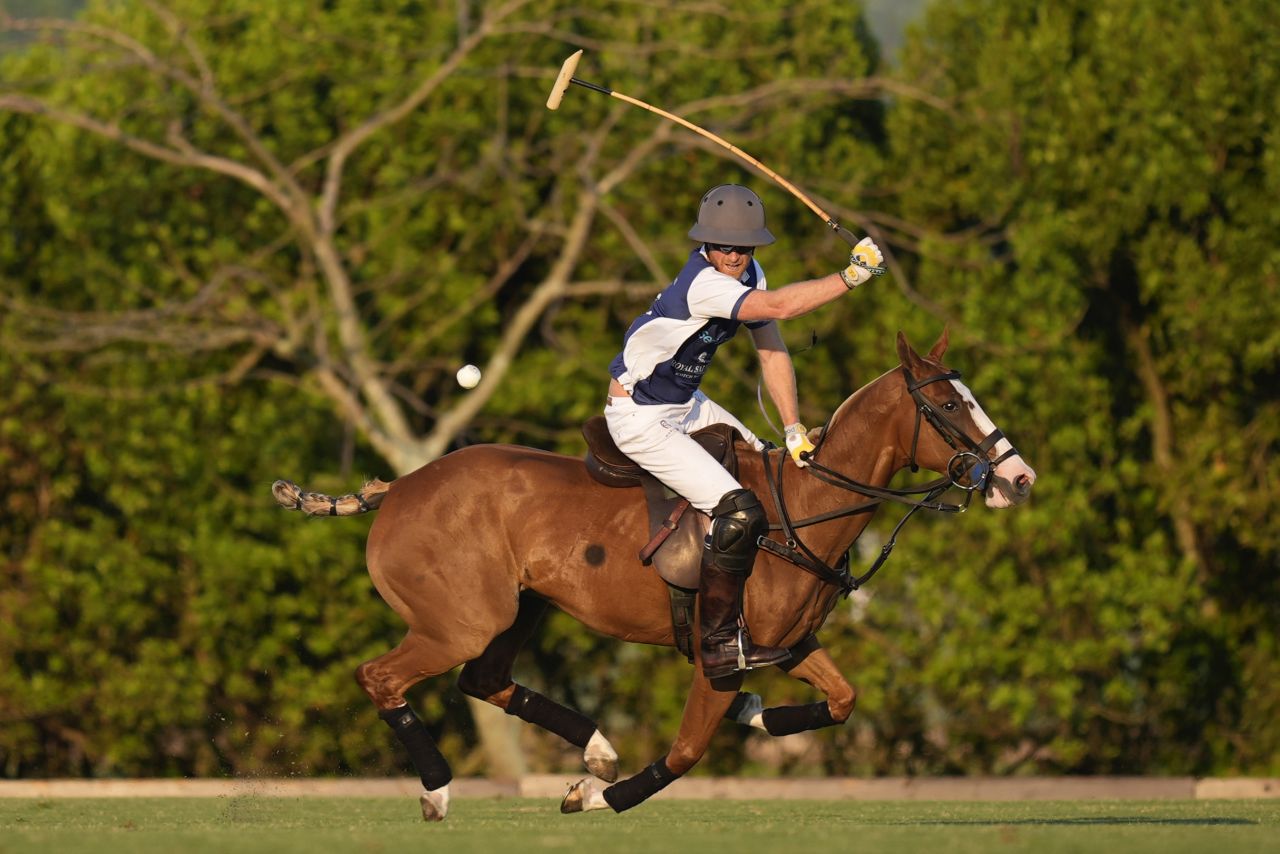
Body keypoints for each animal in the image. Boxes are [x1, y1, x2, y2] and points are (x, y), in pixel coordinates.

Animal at [275, 330, 1034, 819]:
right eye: (949, 406)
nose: (1019, 479)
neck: (802, 508)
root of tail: (398, 488)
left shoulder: (787, 645)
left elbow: (844, 699)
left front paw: (753, 714)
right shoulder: (718, 655)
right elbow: (689, 750)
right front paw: (593, 798)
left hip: (517, 608)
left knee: (482, 679)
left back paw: (598, 751)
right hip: (459, 620)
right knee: (381, 677)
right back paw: (440, 791)